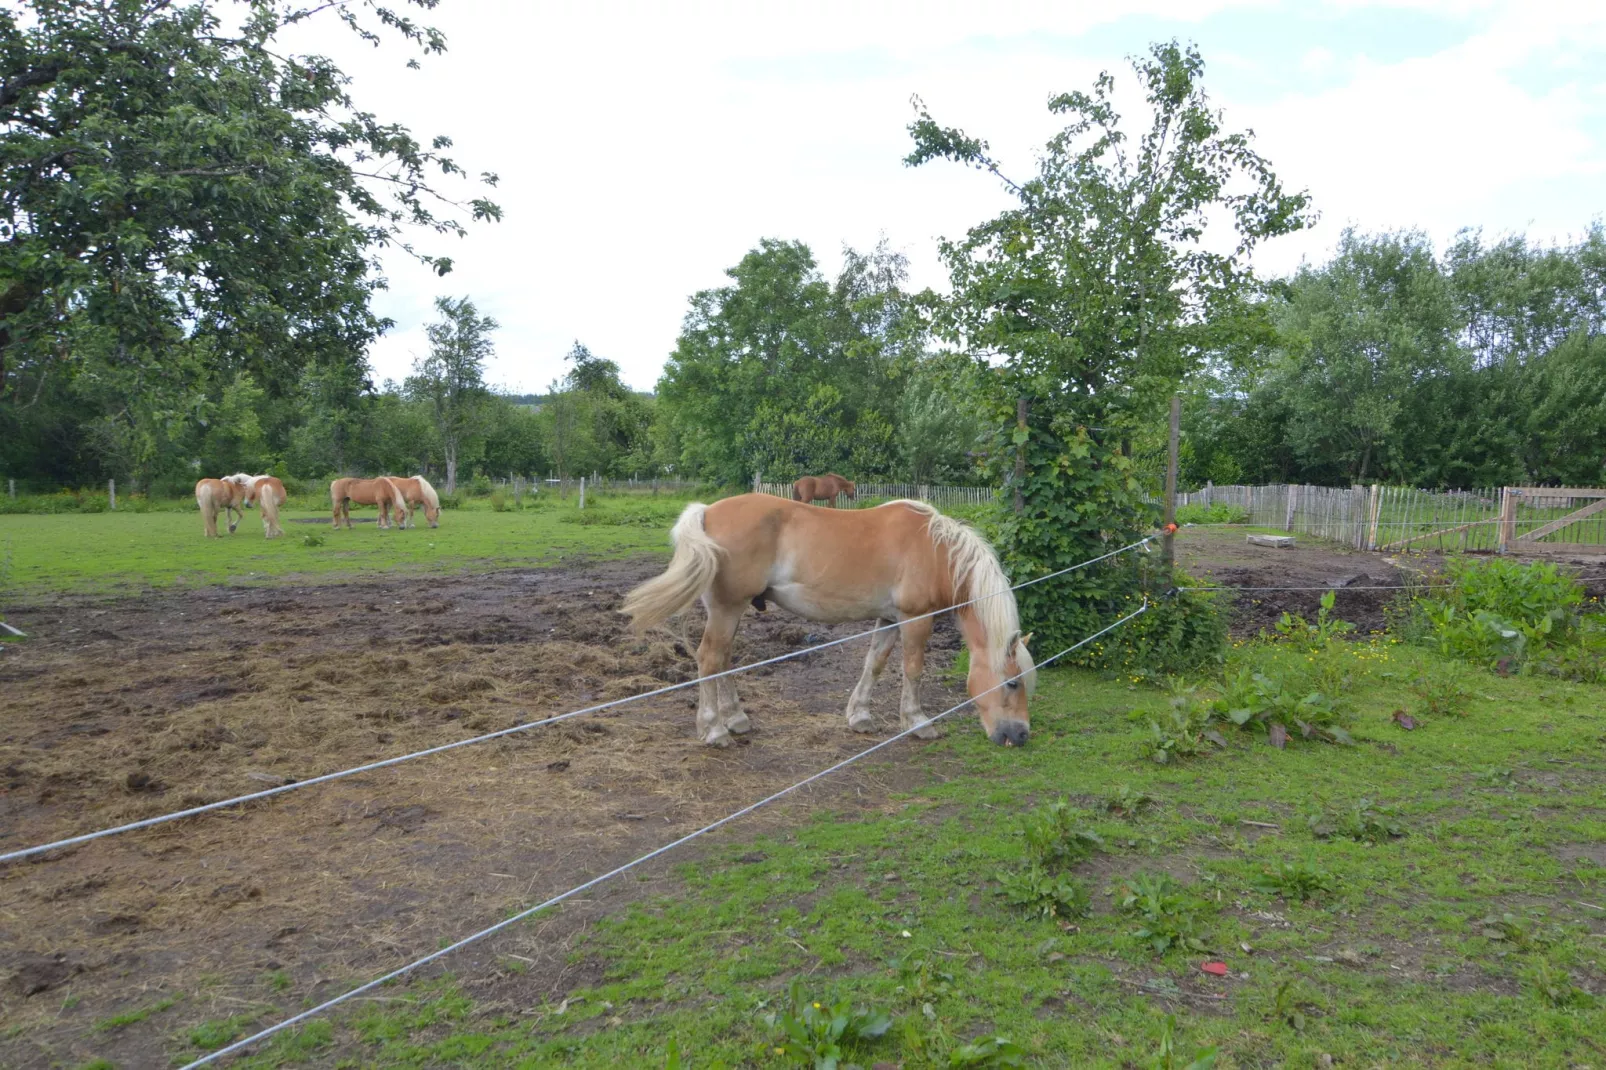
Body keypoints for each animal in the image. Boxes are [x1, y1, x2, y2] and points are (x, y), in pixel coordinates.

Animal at [619, 491, 1034, 742]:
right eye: (1012, 683)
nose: (1021, 735)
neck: (936, 550)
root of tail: (706, 512)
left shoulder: (889, 619)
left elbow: (874, 664)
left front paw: (860, 716)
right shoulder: (916, 619)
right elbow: (913, 669)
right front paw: (917, 722)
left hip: (729, 612)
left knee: (722, 660)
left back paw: (735, 719)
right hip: (727, 608)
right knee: (709, 659)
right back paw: (714, 730)